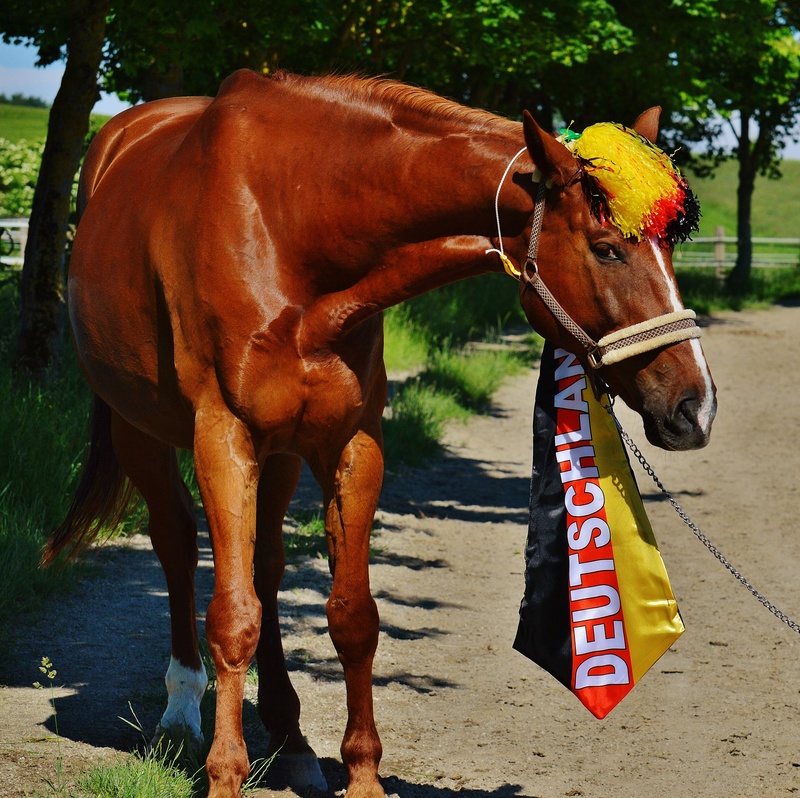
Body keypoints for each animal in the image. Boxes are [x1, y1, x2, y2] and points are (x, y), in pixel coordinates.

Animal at [44, 69, 716, 798]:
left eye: (671, 246)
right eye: (607, 249)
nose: (696, 407)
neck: (291, 226)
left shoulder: (351, 443)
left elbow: (352, 615)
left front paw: (362, 774)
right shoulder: (223, 439)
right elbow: (232, 616)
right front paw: (225, 775)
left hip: (282, 453)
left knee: (266, 566)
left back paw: (291, 739)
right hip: (139, 428)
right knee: (176, 544)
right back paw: (181, 712)